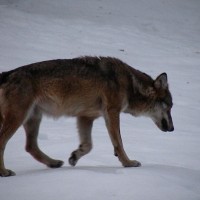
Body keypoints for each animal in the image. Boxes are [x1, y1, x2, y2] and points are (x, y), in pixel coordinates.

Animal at [0, 56, 173, 177]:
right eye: (170, 107)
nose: (172, 128)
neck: (131, 85)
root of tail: (7, 74)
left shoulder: (85, 117)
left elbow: (88, 146)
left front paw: (74, 156)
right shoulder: (112, 112)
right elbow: (119, 144)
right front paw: (128, 163)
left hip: (33, 118)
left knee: (30, 146)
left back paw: (54, 163)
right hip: (18, 117)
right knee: (5, 143)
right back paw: (4, 172)